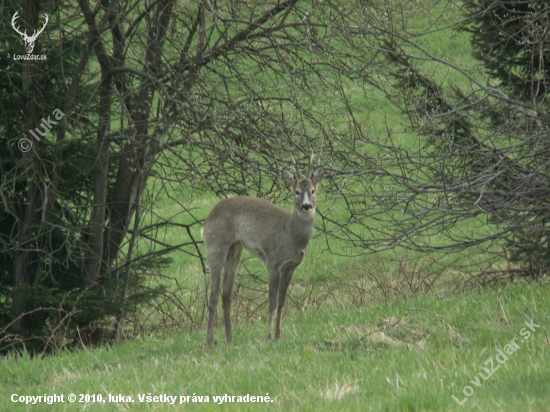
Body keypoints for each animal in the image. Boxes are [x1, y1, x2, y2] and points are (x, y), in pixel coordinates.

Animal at [203, 154, 326, 344]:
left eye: (313, 191)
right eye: (296, 191)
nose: (306, 206)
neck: (291, 234)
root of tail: (207, 219)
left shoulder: (291, 267)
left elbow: (282, 302)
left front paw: (278, 336)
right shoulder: (273, 262)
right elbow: (272, 303)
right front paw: (268, 337)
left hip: (235, 248)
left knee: (226, 293)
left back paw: (229, 339)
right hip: (215, 245)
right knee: (213, 294)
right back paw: (209, 341)